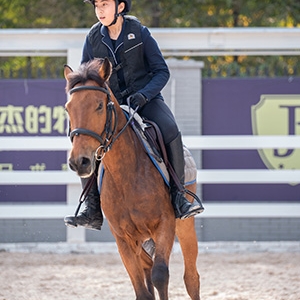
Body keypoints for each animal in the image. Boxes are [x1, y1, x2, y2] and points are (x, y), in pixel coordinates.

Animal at [63, 57, 200, 298]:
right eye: (68, 108)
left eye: (100, 105)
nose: (80, 161)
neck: (125, 175)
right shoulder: (123, 239)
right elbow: (142, 289)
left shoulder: (164, 225)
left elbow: (160, 275)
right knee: (147, 265)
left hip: (185, 226)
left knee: (191, 278)